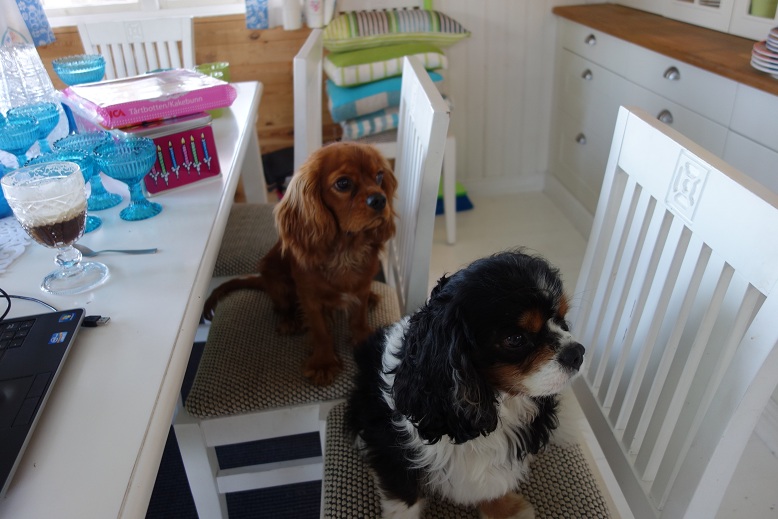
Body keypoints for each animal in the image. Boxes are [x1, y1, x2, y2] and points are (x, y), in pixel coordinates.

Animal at [203, 142, 397, 386]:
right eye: (343, 183)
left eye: (380, 176)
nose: (380, 199)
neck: (345, 251)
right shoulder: (309, 297)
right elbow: (320, 330)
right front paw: (323, 362)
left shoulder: (361, 285)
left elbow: (359, 316)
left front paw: (363, 339)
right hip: (275, 277)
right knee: (280, 306)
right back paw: (290, 321)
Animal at [346, 250, 585, 519]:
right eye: (515, 338)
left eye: (562, 320)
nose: (577, 353)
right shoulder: (393, 450)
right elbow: (404, 496)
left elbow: (495, 482)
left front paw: (505, 509)